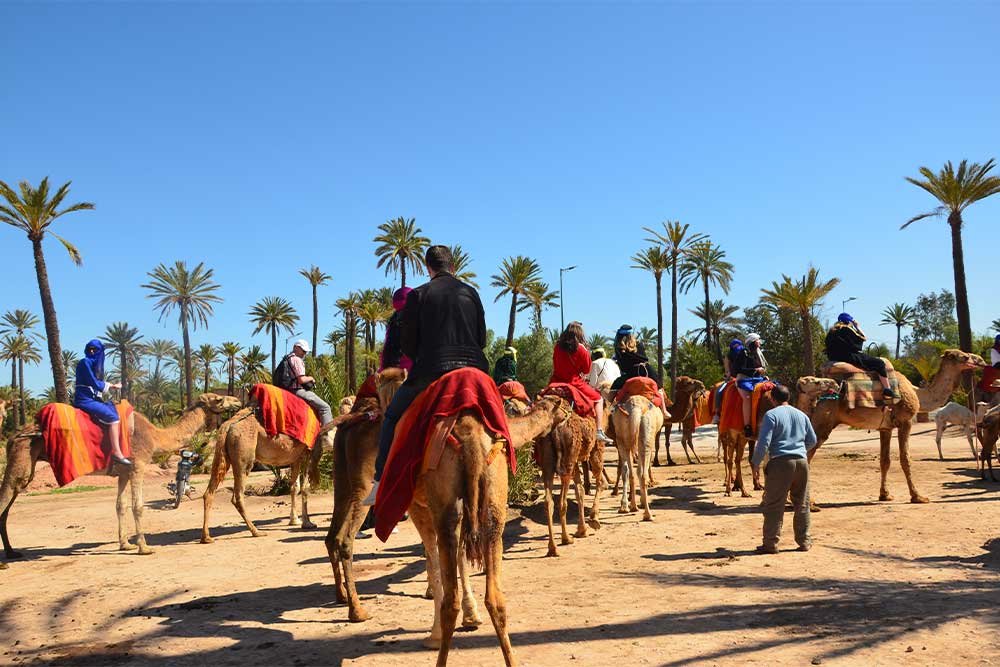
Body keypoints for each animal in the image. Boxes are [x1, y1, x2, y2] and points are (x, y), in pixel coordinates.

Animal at [0, 394, 239, 560]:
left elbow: (120, 506)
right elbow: (137, 506)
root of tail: (13, 437)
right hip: (23, 456)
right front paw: (144, 548)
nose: (236, 401)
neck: (155, 436)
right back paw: (5, 562)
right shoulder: (137, 466)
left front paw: (126, 544)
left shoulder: (123, 472)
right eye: (218, 399)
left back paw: (11, 553)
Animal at [200, 402, 336, 544]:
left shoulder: (296, 457)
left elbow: (294, 487)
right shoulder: (308, 453)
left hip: (221, 455)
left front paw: (294, 520)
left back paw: (206, 537)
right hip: (244, 456)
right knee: (237, 495)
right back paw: (256, 531)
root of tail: (228, 426)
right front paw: (307, 523)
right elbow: (305, 488)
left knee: (209, 492)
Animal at [536, 396, 604, 560]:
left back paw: (552, 548)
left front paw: (582, 529)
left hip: (548, 463)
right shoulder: (596, 449)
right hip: (568, 460)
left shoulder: (576, 462)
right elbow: (598, 483)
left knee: (548, 502)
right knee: (562, 501)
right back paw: (566, 539)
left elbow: (580, 490)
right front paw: (593, 520)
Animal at [796, 350, 984, 500]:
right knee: (807, 455)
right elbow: (905, 459)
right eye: (964, 356)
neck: (917, 392)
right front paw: (918, 497)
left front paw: (885, 495)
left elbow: (885, 461)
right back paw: (810, 504)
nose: (981, 360)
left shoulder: (885, 428)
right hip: (823, 421)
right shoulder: (905, 422)